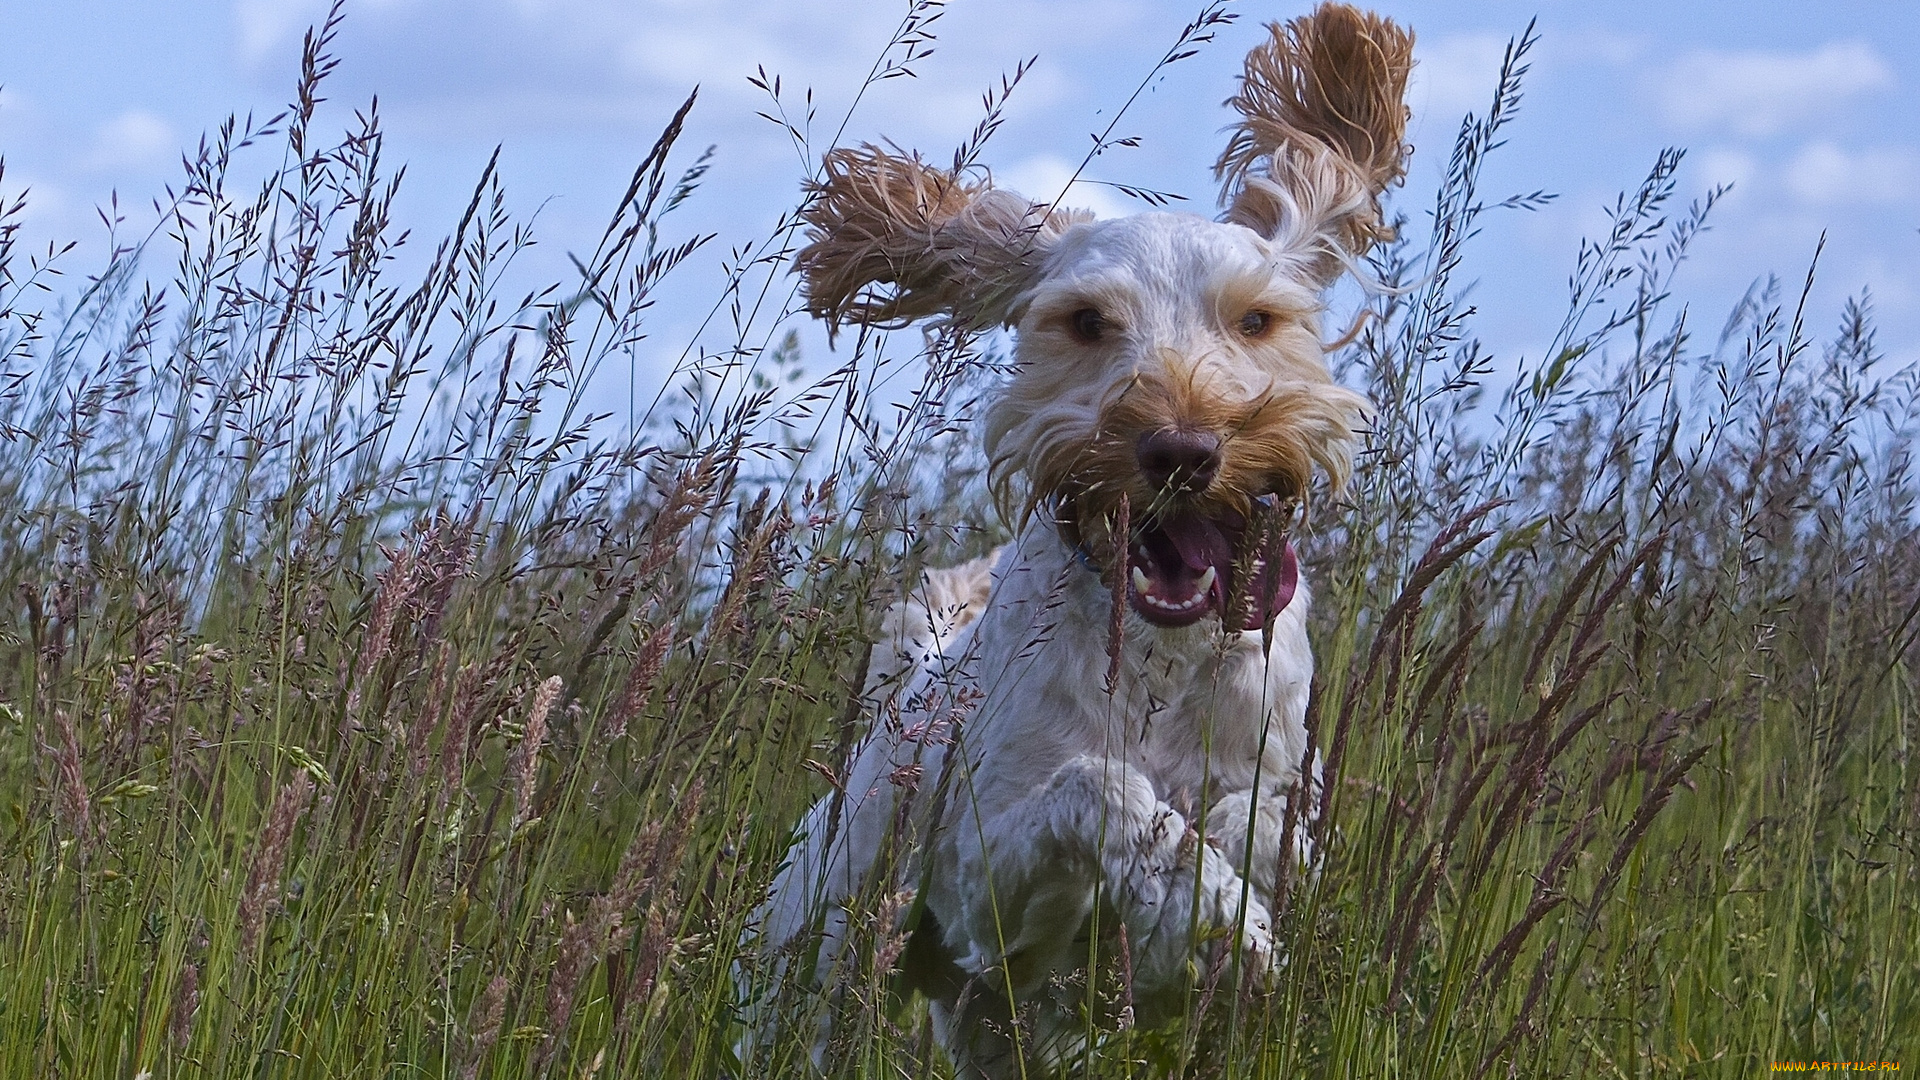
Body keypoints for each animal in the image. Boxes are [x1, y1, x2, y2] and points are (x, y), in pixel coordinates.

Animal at [741, 6, 1420, 1068]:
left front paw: (1225, 893)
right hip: (813, 977)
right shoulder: (972, 886)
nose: (1181, 449)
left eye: (1257, 319)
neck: (1161, 659)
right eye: (1088, 321)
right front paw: (1210, 905)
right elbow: (1105, 790)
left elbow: (1262, 820)